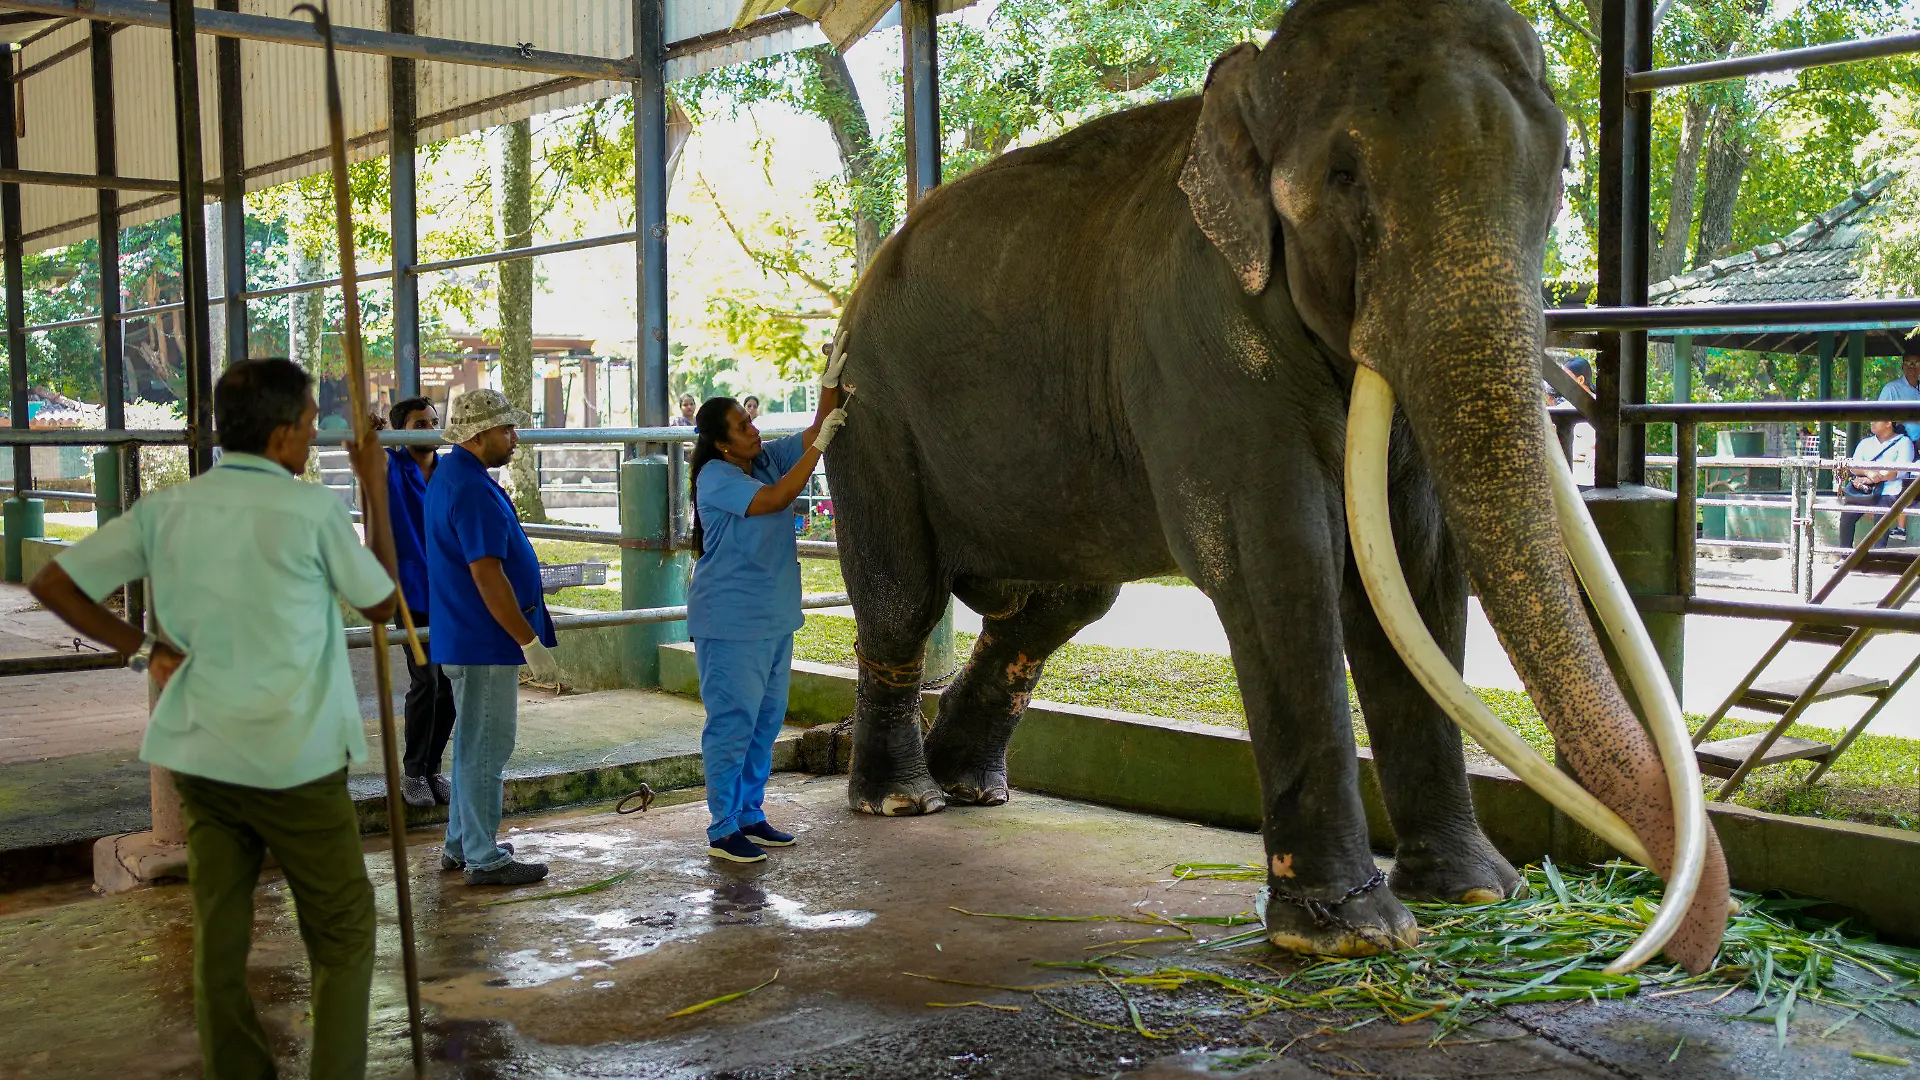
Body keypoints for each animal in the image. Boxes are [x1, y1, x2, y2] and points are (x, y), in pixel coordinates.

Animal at [821, 0, 1730, 972]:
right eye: (1342, 174)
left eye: (1561, 168)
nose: (1666, 946)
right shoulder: (1201, 343)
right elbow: (1279, 561)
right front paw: (1351, 936)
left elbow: (1416, 567)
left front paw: (1478, 892)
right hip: (868, 420)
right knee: (903, 600)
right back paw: (902, 801)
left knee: (1062, 603)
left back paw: (970, 784)